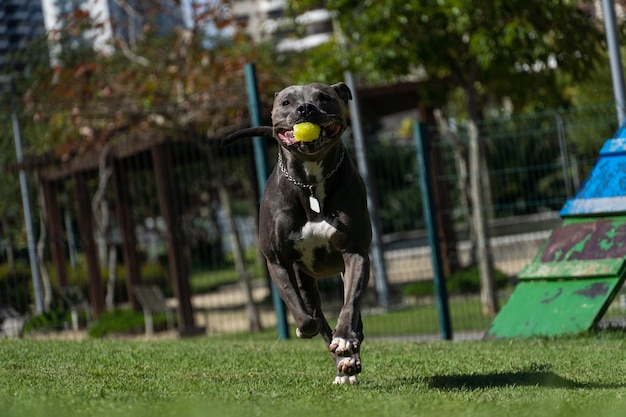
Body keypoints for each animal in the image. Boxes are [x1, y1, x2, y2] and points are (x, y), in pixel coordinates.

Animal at [223, 82, 370, 384]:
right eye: (286, 102)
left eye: (323, 97)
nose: (305, 109)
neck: (310, 182)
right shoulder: (277, 261)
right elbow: (301, 311)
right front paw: (305, 328)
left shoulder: (355, 252)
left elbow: (350, 305)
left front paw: (346, 340)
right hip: (305, 280)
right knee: (317, 316)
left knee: (352, 311)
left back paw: (348, 356)